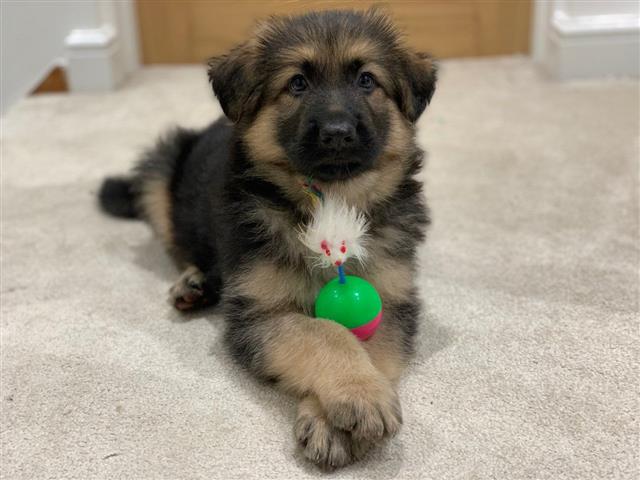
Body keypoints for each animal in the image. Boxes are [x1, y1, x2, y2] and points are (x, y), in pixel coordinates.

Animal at [99, 9, 436, 468]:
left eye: (367, 80)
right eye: (297, 83)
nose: (337, 132)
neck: (331, 200)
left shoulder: (392, 299)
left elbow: (367, 345)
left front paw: (339, 413)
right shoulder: (259, 313)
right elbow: (324, 333)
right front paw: (359, 395)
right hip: (160, 170)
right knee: (180, 244)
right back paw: (194, 282)